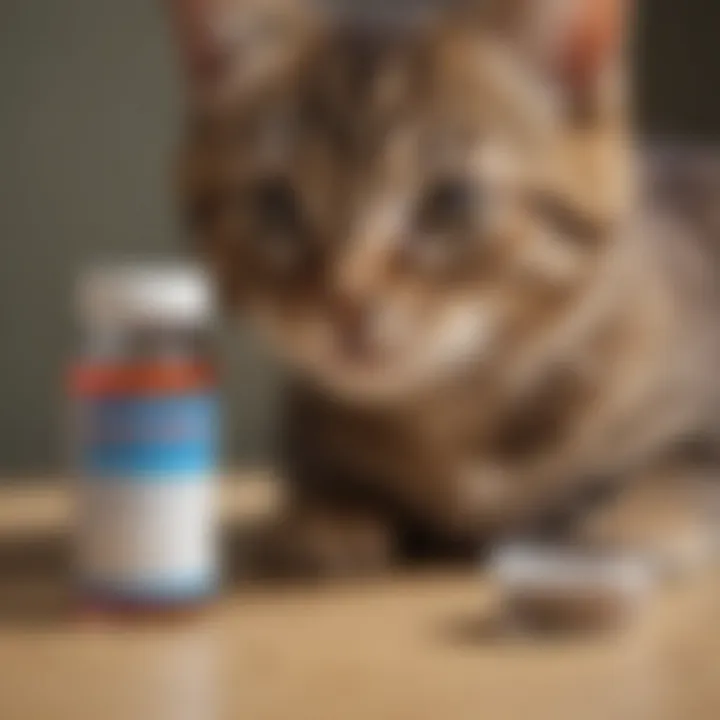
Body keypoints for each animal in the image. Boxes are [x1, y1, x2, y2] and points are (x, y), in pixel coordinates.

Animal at [167, 0, 720, 572]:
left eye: (450, 199)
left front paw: (634, 524)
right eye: (275, 205)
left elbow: (684, 465)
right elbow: (321, 474)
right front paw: (320, 519)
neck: (455, 414)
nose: (346, 302)